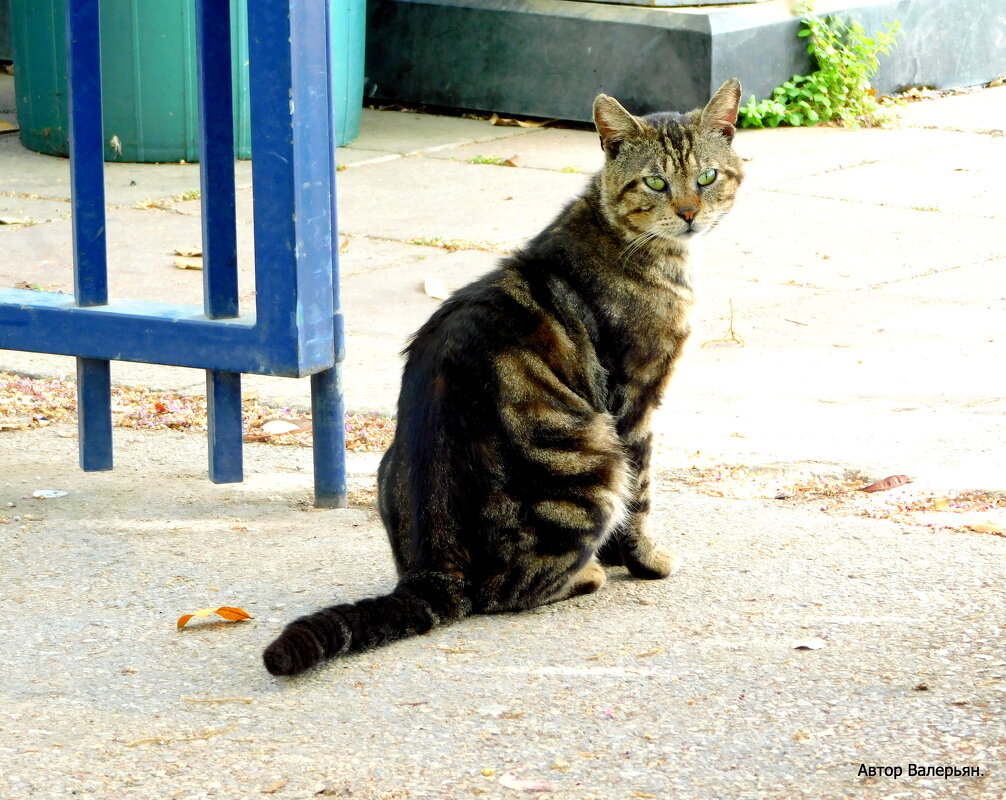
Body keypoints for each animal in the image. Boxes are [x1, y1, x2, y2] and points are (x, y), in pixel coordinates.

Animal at [263, 81, 744, 676]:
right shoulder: (635, 402)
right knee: (512, 590)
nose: (689, 212)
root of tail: (433, 571)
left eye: (707, 176)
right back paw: (587, 572)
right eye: (656, 180)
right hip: (595, 455)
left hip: (384, 464)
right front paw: (645, 561)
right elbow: (642, 499)